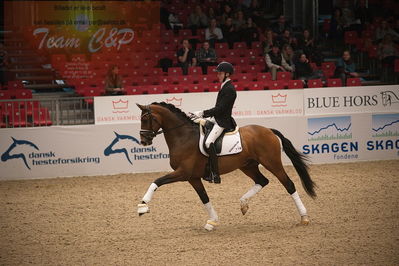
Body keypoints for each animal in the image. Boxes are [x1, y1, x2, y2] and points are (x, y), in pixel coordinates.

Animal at [136, 102, 318, 231]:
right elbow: (204, 198)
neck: (183, 136)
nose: (144, 141)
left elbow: (157, 181)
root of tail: (268, 130)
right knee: (262, 181)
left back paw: (304, 218)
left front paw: (143, 206)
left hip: (272, 162)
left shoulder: (183, 173)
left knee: (289, 184)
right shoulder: (193, 177)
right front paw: (212, 222)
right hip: (248, 166)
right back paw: (243, 204)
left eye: (145, 119)